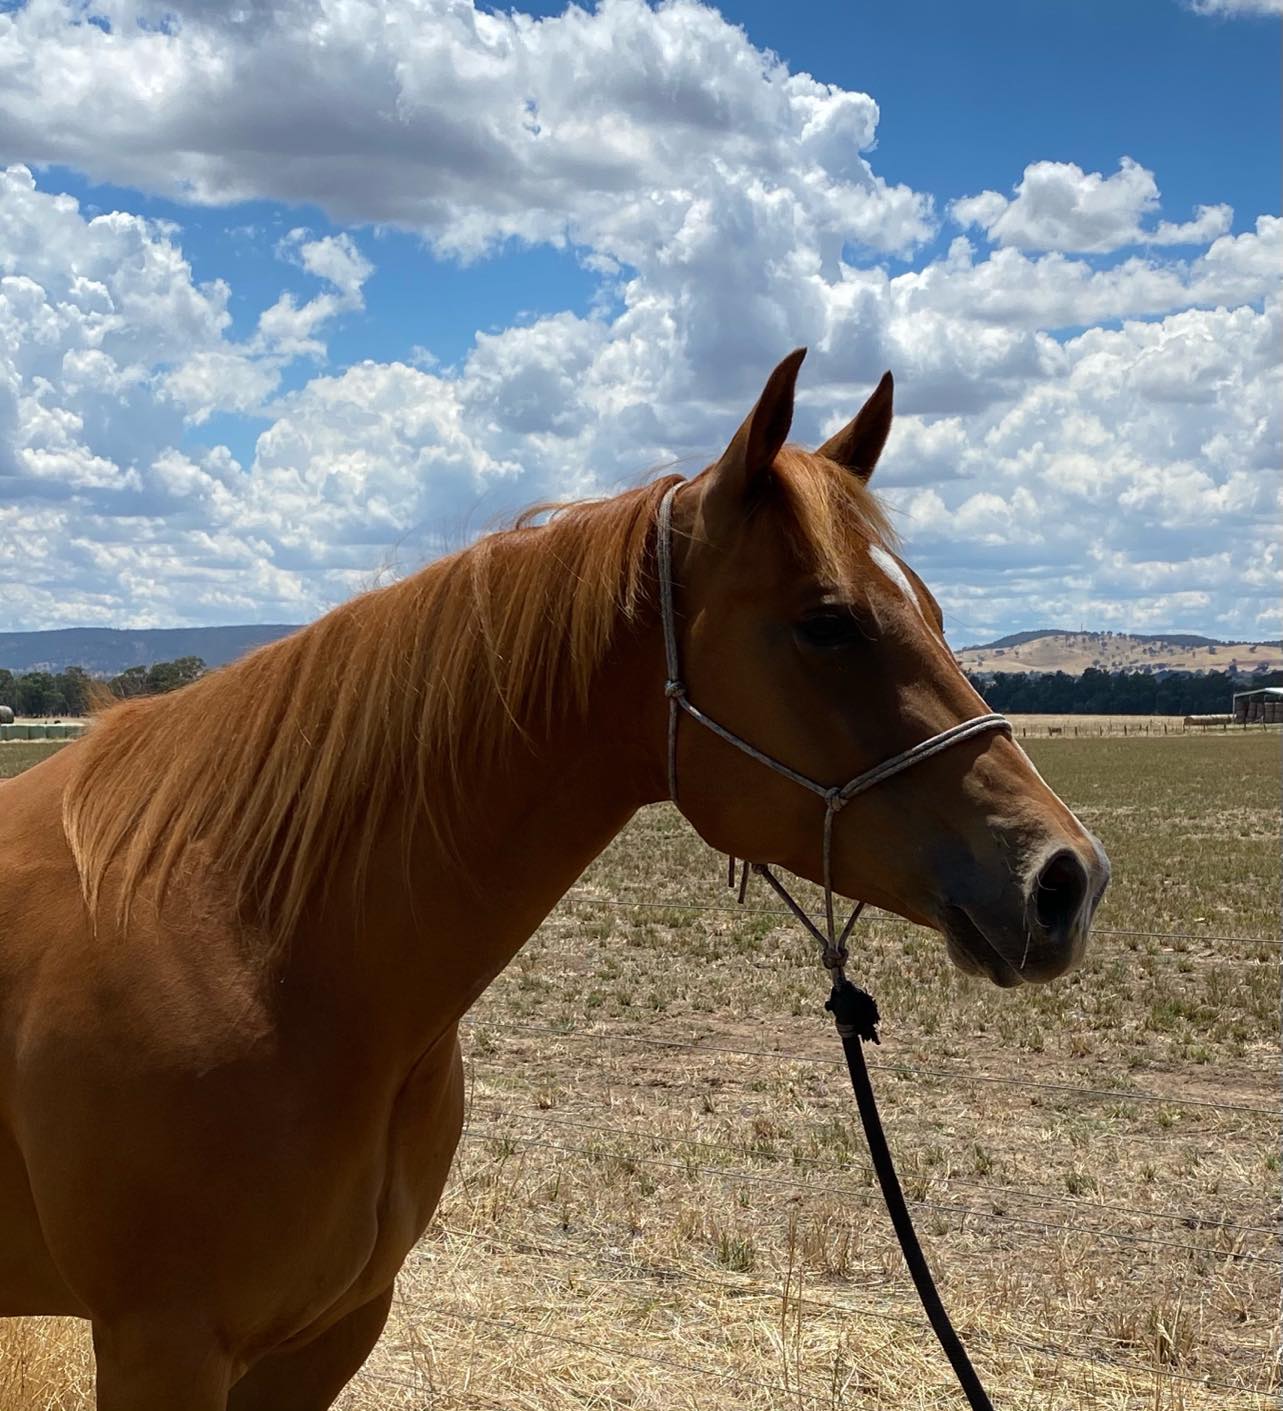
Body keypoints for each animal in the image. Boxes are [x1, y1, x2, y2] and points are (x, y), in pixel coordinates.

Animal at [0, 351, 1109, 1408]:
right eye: (826, 621)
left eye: (932, 607)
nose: (1065, 879)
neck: (257, 946)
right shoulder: (163, 1346)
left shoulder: (329, 1332)